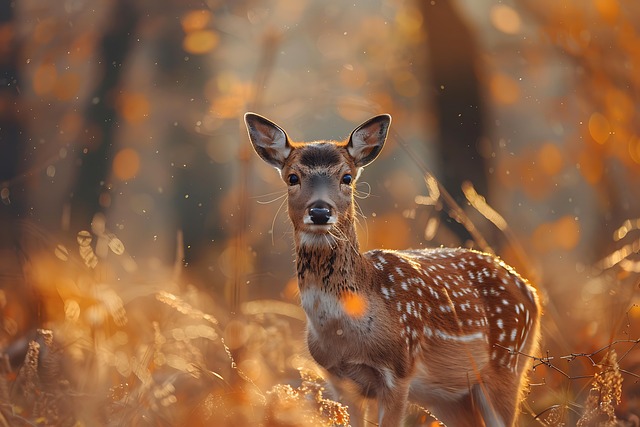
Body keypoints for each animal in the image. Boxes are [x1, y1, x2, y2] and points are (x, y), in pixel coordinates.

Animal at [244, 113, 540, 427]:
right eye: (293, 177)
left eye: (347, 177)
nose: (320, 211)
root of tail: (531, 292)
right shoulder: (339, 380)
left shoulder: (399, 371)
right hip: (449, 397)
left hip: (507, 365)